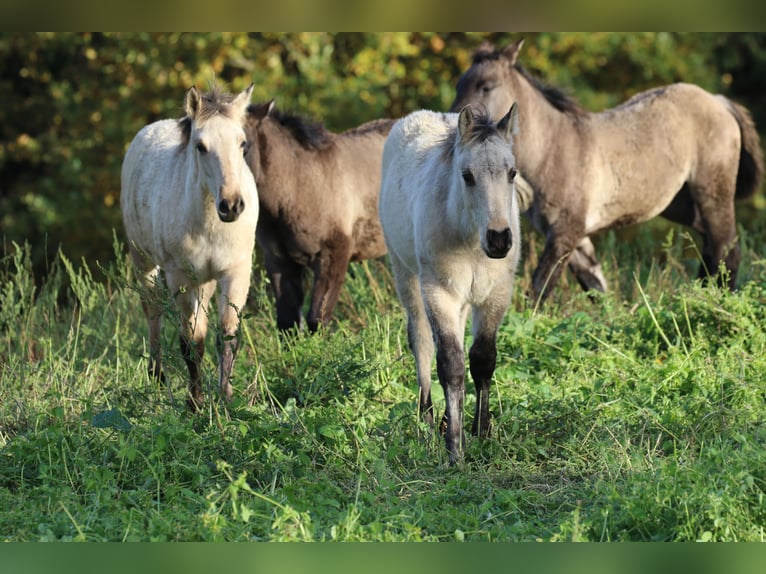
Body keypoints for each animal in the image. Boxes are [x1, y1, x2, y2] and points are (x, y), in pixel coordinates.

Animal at [121, 83, 259, 409]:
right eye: (201, 146)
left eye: (242, 144)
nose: (231, 205)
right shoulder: (181, 278)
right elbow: (191, 342)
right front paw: (195, 402)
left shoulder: (235, 273)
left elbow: (227, 337)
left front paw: (226, 398)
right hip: (144, 262)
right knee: (152, 309)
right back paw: (156, 375)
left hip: (205, 281)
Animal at [379, 104, 522, 464]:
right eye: (467, 175)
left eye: (512, 173)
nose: (499, 239)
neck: (469, 238)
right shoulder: (439, 293)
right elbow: (451, 365)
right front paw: (454, 449)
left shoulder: (495, 295)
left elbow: (483, 359)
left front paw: (481, 432)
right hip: (407, 275)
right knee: (422, 343)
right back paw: (428, 420)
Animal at [451, 39, 764, 305]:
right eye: (458, 85)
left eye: (486, 86)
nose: (457, 125)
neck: (554, 150)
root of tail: (720, 101)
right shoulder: (574, 238)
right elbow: (597, 289)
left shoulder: (565, 232)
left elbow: (539, 291)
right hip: (682, 205)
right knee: (711, 249)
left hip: (712, 193)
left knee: (727, 249)